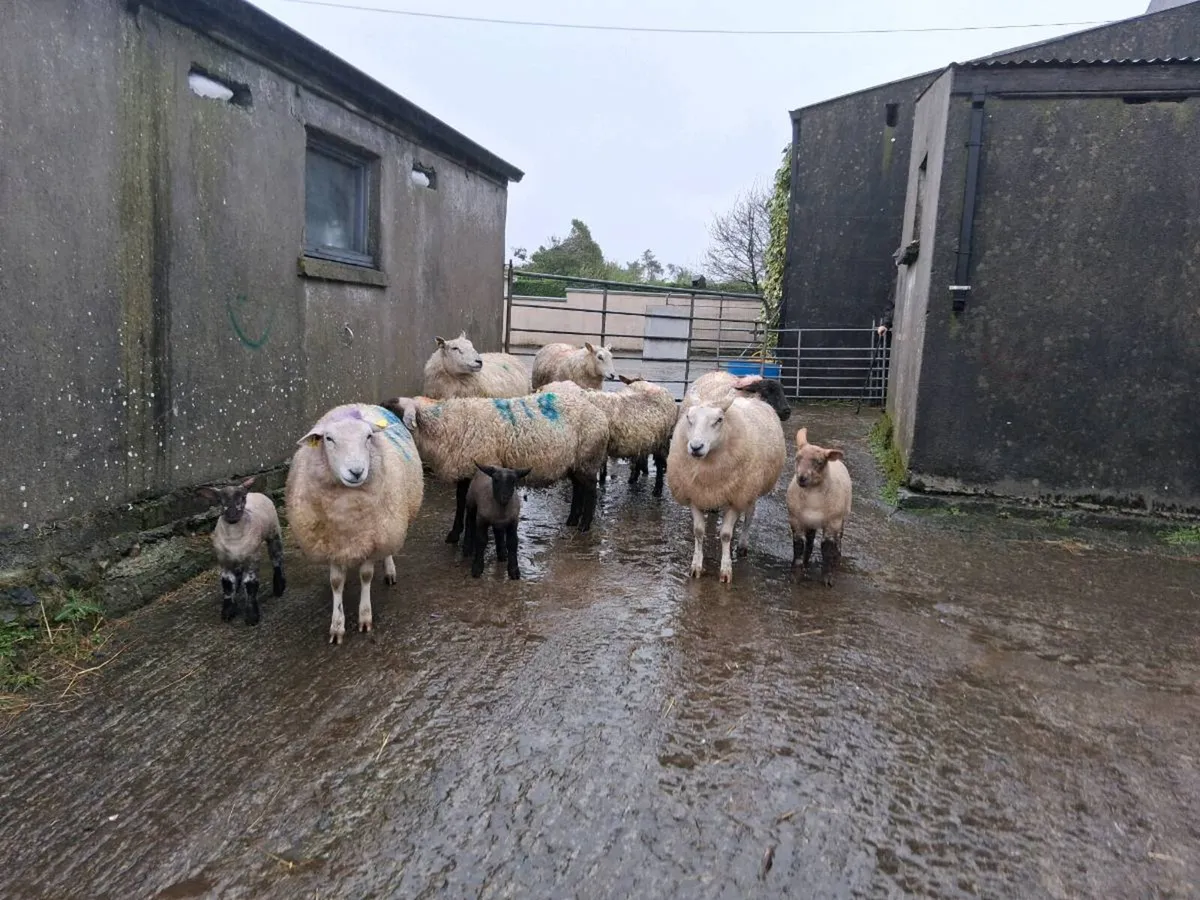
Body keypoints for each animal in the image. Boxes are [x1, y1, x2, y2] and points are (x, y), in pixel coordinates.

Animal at [197, 477, 286, 626]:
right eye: (220, 500)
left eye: (243, 497)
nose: (233, 515)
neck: (234, 537)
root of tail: (255, 493)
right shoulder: (224, 560)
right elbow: (227, 585)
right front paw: (228, 612)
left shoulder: (252, 558)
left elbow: (250, 585)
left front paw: (251, 616)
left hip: (274, 533)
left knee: (277, 560)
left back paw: (279, 587)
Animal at [284, 403, 424, 644]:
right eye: (329, 439)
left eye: (368, 437)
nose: (356, 471)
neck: (347, 518)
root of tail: (360, 405)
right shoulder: (332, 544)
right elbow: (336, 582)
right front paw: (337, 626)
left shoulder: (372, 539)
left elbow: (366, 575)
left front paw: (365, 617)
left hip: (391, 522)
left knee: (388, 550)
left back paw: (389, 571)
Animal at [382, 390, 609, 541]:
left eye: (391, 409)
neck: (445, 425)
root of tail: (598, 412)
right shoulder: (466, 468)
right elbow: (461, 501)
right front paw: (456, 533)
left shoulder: (478, 464)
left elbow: (463, 501)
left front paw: (461, 534)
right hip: (575, 462)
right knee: (579, 488)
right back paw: (572, 520)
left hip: (588, 457)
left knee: (591, 491)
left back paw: (584, 525)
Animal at [666, 393, 786, 584]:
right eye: (689, 419)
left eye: (719, 420)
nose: (696, 447)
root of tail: (754, 399)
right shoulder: (695, 495)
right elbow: (698, 531)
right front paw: (696, 566)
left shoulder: (735, 499)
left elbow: (726, 535)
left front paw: (726, 569)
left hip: (750, 490)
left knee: (749, 517)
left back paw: (742, 545)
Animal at [786, 427, 852, 587]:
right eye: (797, 458)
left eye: (819, 462)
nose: (801, 478)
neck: (813, 498)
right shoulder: (796, 520)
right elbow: (799, 545)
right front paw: (795, 575)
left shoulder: (832, 523)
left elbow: (827, 548)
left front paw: (827, 578)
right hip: (810, 521)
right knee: (810, 540)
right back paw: (806, 560)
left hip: (841, 518)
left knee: (838, 539)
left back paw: (837, 556)